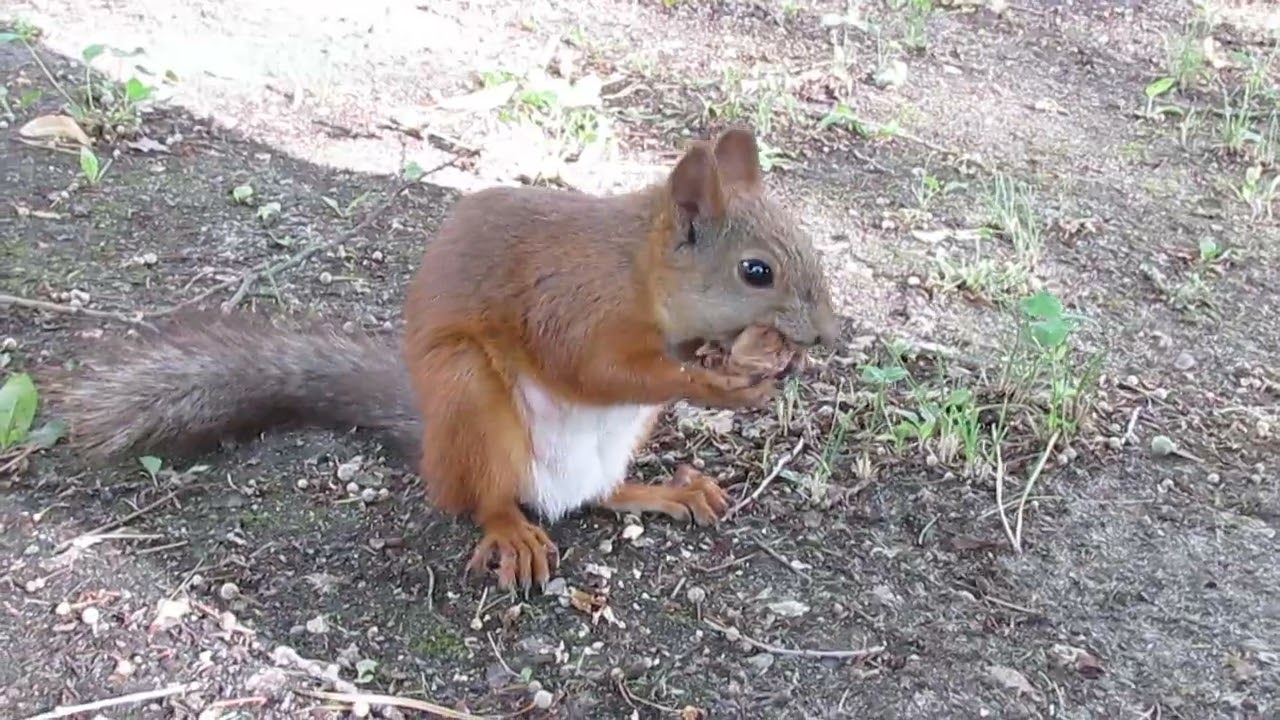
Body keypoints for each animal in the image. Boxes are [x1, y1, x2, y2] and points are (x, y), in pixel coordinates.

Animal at [53, 127, 839, 592]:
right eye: (757, 272)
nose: (828, 335)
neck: (638, 271)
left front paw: (747, 362)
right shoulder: (573, 307)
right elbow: (599, 371)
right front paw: (723, 384)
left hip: (612, 444)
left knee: (598, 494)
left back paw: (664, 491)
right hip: (469, 399)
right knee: (487, 498)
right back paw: (511, 532)